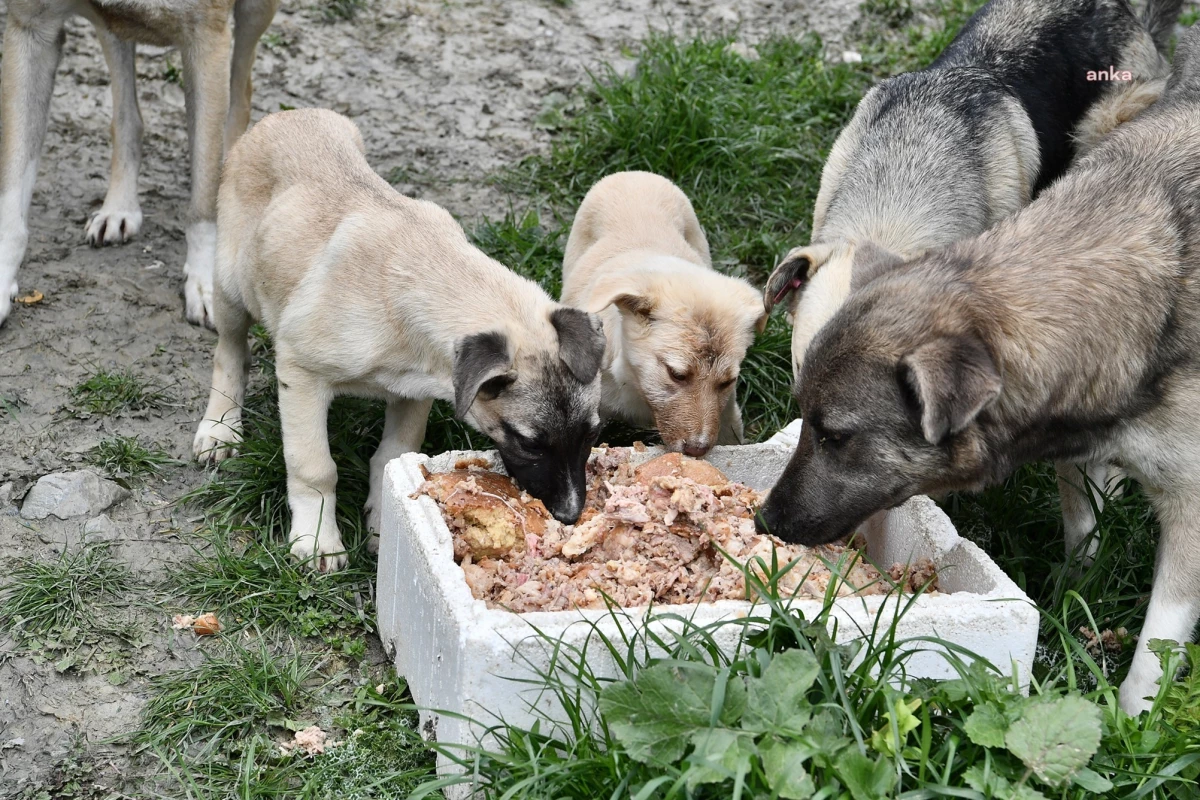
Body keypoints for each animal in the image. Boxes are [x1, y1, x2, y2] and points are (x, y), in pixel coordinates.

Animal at [199, 109, 609, 573]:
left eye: (594, 434)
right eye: (529, 443)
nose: (570, 515)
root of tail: (286, 115)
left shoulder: (416, 389)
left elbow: (393, 454)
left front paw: (385, 521)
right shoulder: (300, 374)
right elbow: (314, 467)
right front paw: (318, 540)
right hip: (232, 287)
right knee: (230, 352)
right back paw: (219, 428)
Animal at [564, 172, 768, 455]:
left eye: (727, 381)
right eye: (676, 374)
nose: (698, 449)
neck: (635, 382)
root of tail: (635, 174)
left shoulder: (727, 409)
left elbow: (732, 436)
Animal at [758, 23, 1200, 714]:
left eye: (834, 435)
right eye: (799, 399)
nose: (762, 522)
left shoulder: (1189, 508)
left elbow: (1155, 649)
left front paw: (1130, 718)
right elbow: (1085, 532)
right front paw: (1079, 594)